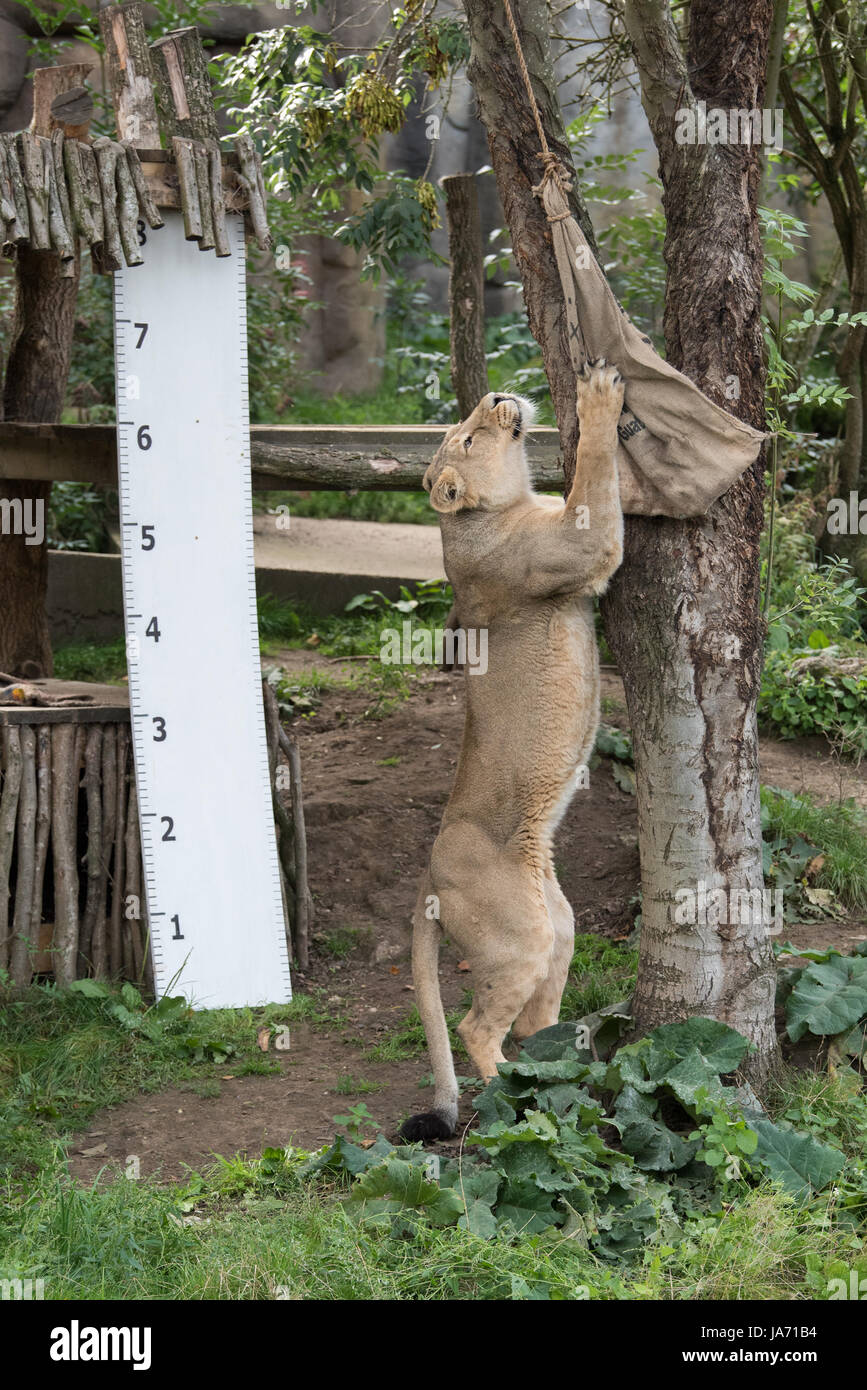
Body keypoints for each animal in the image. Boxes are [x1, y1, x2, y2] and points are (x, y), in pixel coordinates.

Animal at [400, 358, 622, 1139]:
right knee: (475, 1029)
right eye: (469, 437)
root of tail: (426, 883)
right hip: (518, 935)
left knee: (531, 1019)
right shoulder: (579, 545)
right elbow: (596, 479)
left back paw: (567, 1067)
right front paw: (598, 396)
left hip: (555, 922)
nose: (498, 395)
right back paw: (520, 1106)